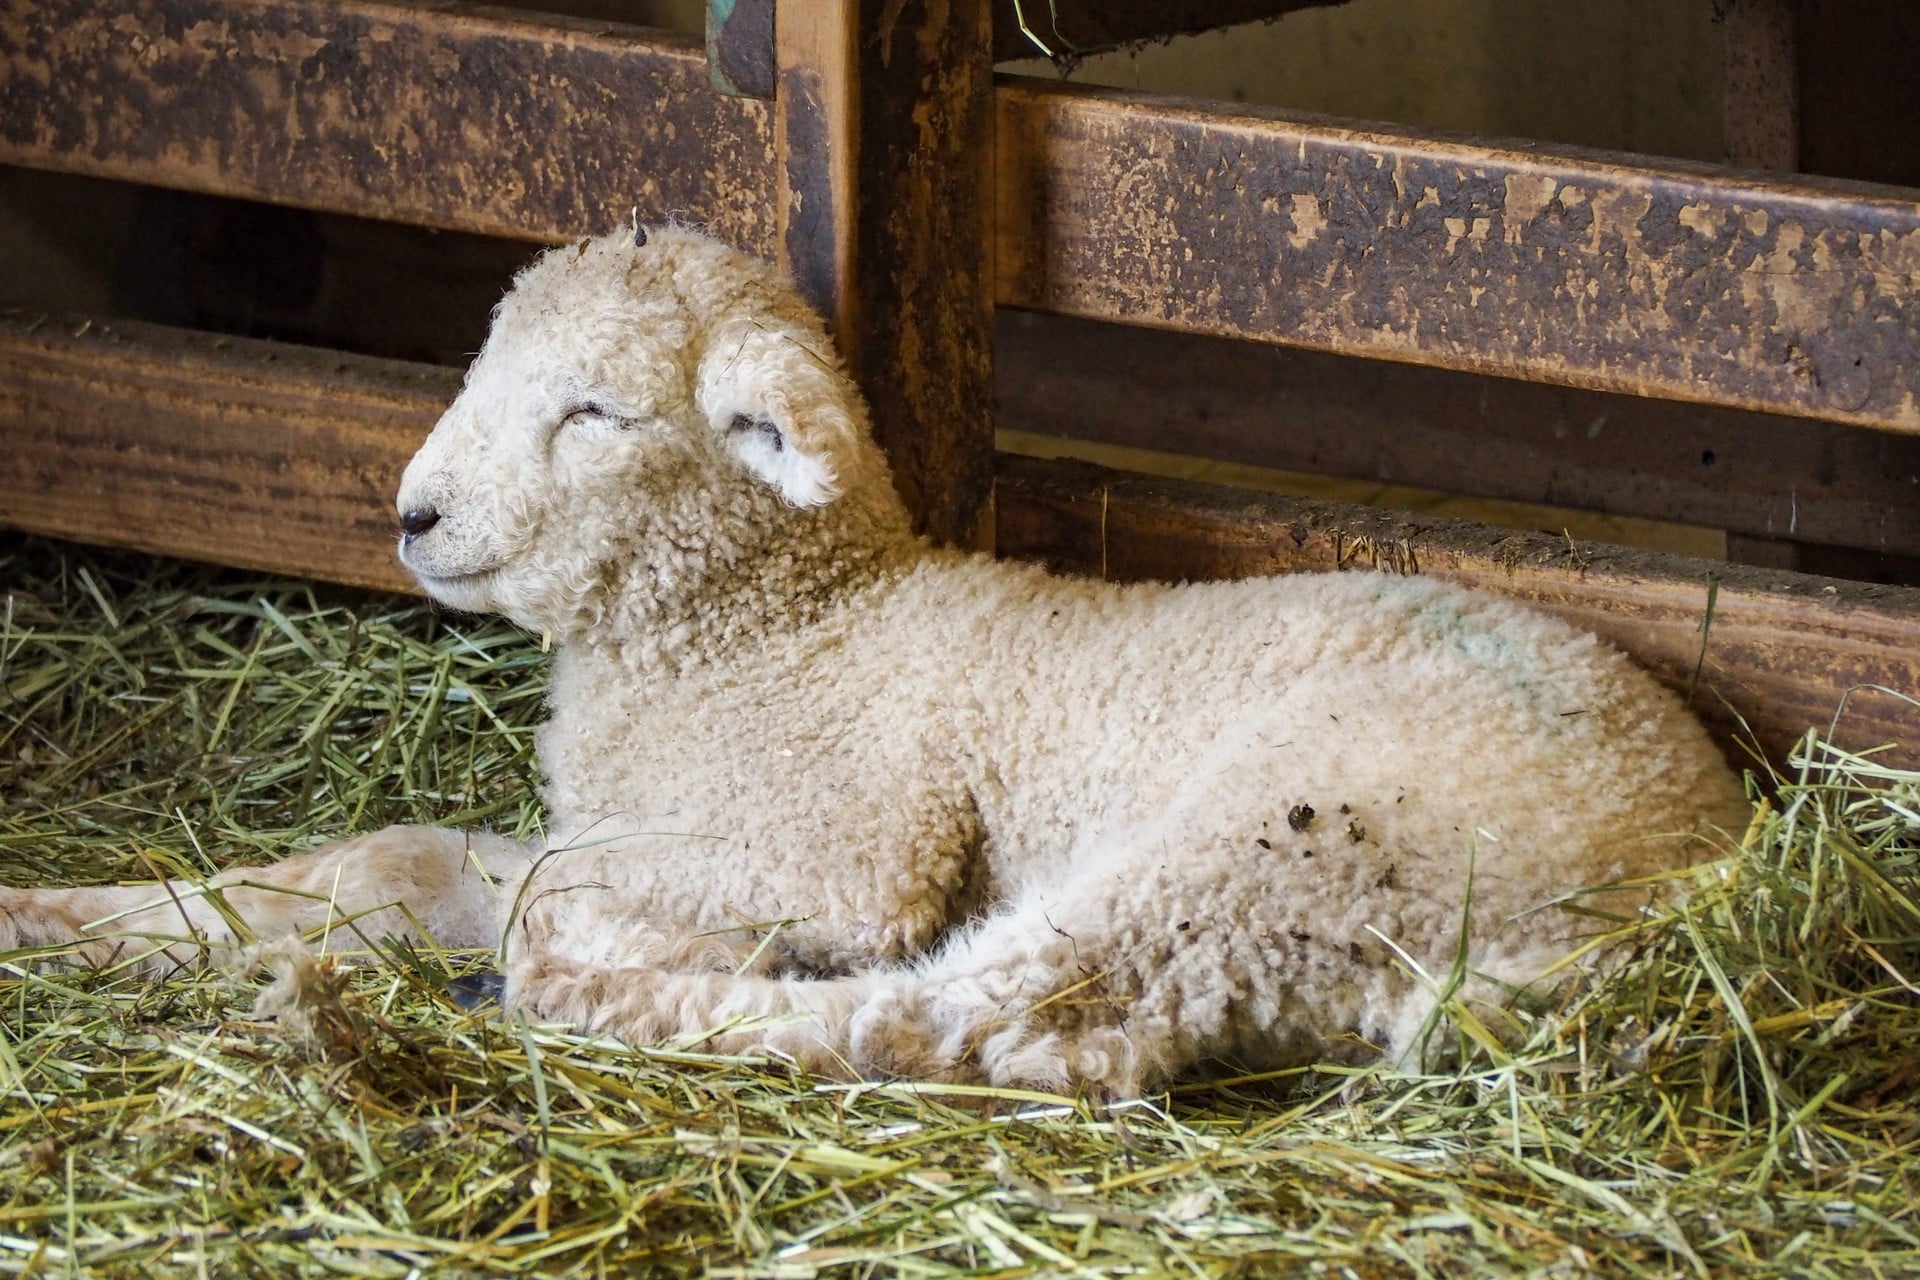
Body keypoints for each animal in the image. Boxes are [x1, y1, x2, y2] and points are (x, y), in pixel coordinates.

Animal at [0, 225, 1749, 1096]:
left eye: (596, 409)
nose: (413, 516)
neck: (786, 627)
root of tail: (1701, 870)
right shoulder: (635, 824)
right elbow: (380, 859)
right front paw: (61, 921)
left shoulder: (845, 848)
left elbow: (567, 894)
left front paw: (592, 949)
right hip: (1282, 912)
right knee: (1064, 1042)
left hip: (1287, 836)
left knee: (958, 1023)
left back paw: (608, 993)